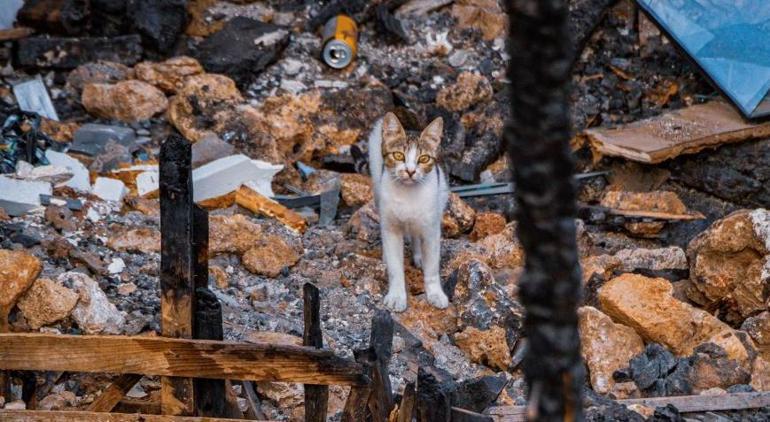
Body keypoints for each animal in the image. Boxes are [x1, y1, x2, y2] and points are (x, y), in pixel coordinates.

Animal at [368, 112, 450, 314]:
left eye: (424, 159)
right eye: (398, 155)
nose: (410, 171)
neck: (408, 195)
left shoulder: (432, 230)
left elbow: (432, 268)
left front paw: (435, 293)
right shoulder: (391, 228)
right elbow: (395, 267)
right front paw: (397, 296)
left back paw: (419, 256)